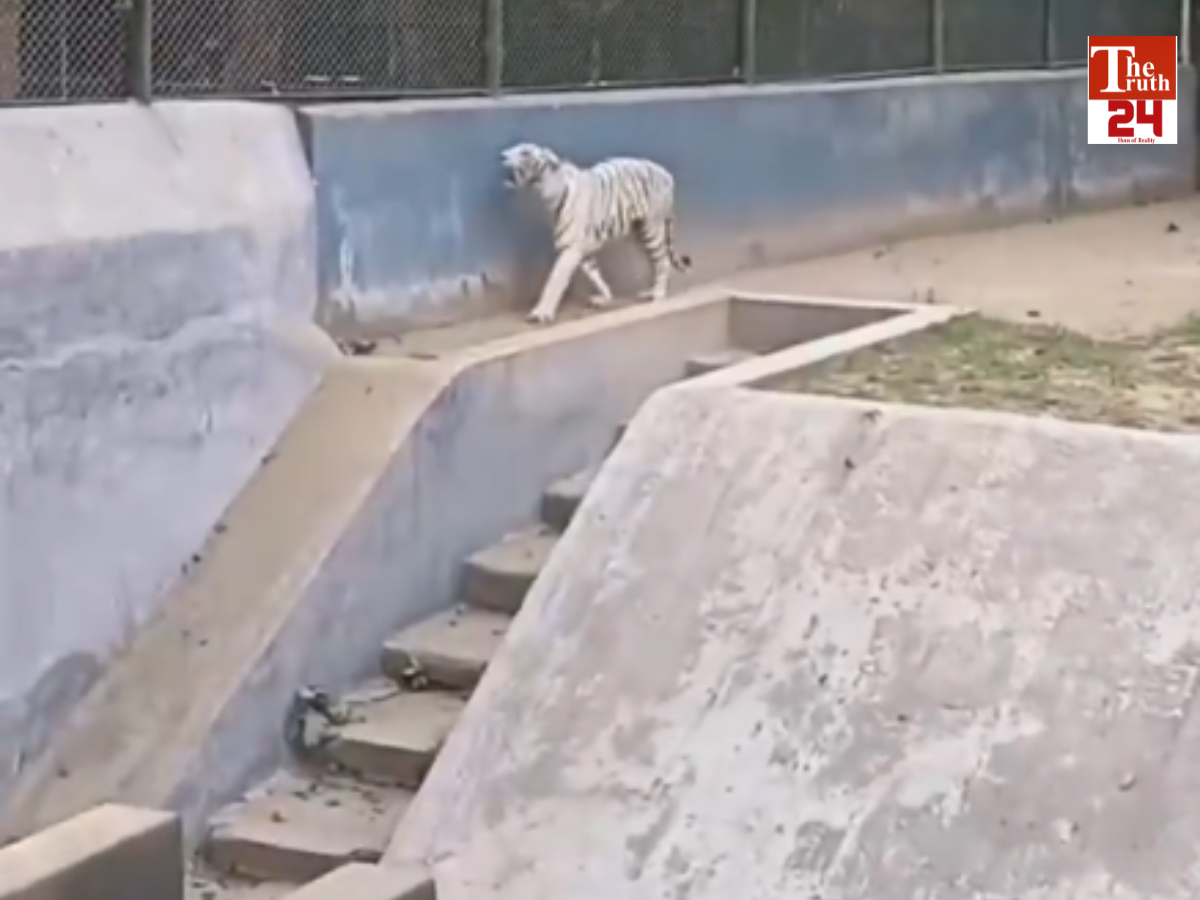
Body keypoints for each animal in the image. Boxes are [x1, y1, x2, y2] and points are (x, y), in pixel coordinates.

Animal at [500, 141, 692, 325]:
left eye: (525, 152)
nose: (502, 155)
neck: (545, 193)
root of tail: (666, 174)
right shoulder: (583, 250)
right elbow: (595, 275)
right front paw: (606, 297)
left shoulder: (571, 249)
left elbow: (554, 280)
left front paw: (541, 313)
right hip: (639, 233)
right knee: (655, 261)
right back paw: (651, 290)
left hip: (651, 228)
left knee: (663, 261)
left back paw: (658, 294)